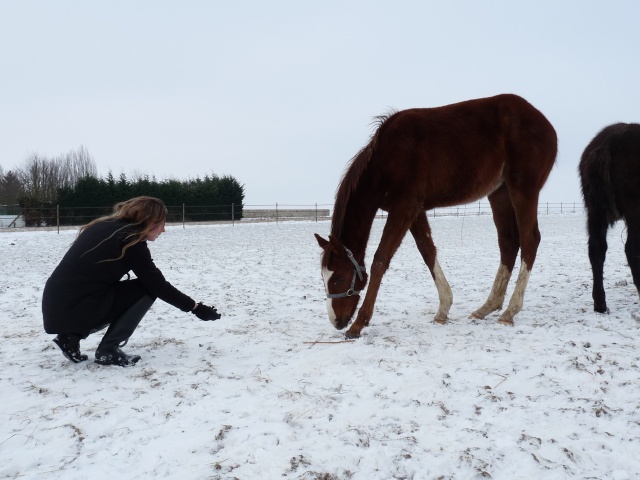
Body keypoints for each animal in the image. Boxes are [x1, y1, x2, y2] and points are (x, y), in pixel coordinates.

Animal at [316, 94, 556, 338]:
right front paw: (443, 309)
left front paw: (359, 323)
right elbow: (427, 251)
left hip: (523, 188)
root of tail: (544, 123)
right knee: (508, 242)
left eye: (339, 278)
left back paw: (509, 311)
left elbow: (380, 260)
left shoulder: (404, 209)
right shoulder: (414, 211)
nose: (337, 322)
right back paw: (487, 307)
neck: (386, 159)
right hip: (499, 192)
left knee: (529, 240)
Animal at [580, 122, 640, 314]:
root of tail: (607, 143)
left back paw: (600, 303)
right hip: (635, 213)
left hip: (595, 212)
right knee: (632, 250)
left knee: (596, 249)